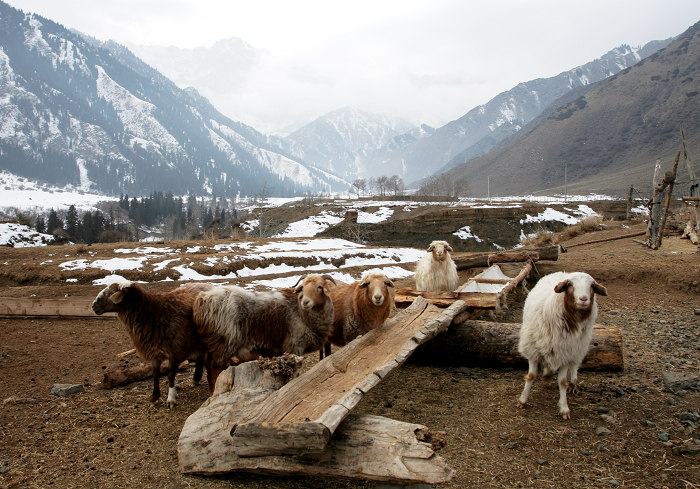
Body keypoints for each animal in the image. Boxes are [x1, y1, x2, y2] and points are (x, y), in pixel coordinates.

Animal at [91, 278, 215, 408]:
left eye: (111, 293)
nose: (93, 306)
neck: (154, 313)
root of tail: (207, 285)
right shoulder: (154, 350)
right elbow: (155, 374)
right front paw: (155, 396)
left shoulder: (176, 350)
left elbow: (170, 374)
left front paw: (171, 398)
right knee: (200, 358)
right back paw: (196, 379)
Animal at [190, 272, 334, 386]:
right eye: (302, 287)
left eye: (320, 287)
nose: (305, 302)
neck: (302, 311)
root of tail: (202, 299)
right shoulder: (294, 346)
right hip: (224, 343)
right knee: (214, 369)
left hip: (213, 342)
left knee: (208, 366)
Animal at [516, 270, 608, 420]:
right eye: (569, 285)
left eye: (592, 286)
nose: (583, 299)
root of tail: (562, 272)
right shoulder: (533, 350)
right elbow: (531, 376)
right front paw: (522, 400)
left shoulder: (567, 352)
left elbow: (563, 382)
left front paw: (564, 408)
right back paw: (547, 374)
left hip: (579, 347)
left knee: (575, 365)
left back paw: (573, 382)